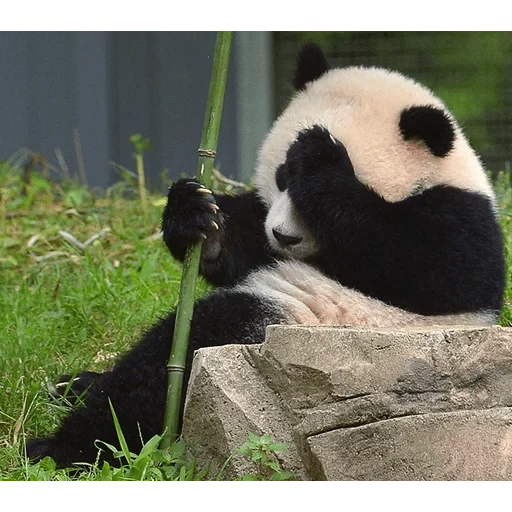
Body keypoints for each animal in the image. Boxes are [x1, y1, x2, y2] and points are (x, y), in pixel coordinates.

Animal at [26, 44, 506, 468]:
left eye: (306, 191)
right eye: (281, 176)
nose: (284, 237)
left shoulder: (459, 222)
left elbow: (422, 266)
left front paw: (322, 156)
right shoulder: (262, 227)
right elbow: (241, 244)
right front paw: (196, 216)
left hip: (306, 330)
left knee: (176, 356)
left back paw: (63, 447)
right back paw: (76, 385)